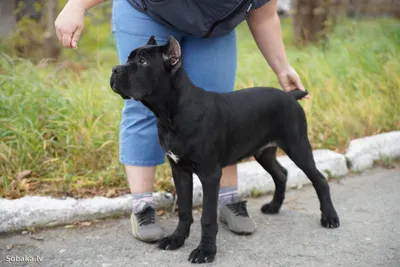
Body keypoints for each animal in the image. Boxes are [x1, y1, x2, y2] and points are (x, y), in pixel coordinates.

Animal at [110, 35, 340, 264]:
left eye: (143, 62)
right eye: (129, 58)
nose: (114, 70)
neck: (172, 113)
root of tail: (290, 96)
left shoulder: (210, 174)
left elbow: (207, 217)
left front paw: (205, 251)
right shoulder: (180, 171)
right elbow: (184, 211)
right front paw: (176, 239)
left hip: (297, 146)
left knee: (319, 179)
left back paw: (329, 217)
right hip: (264, 152)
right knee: (281, 173)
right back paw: (274, 206)